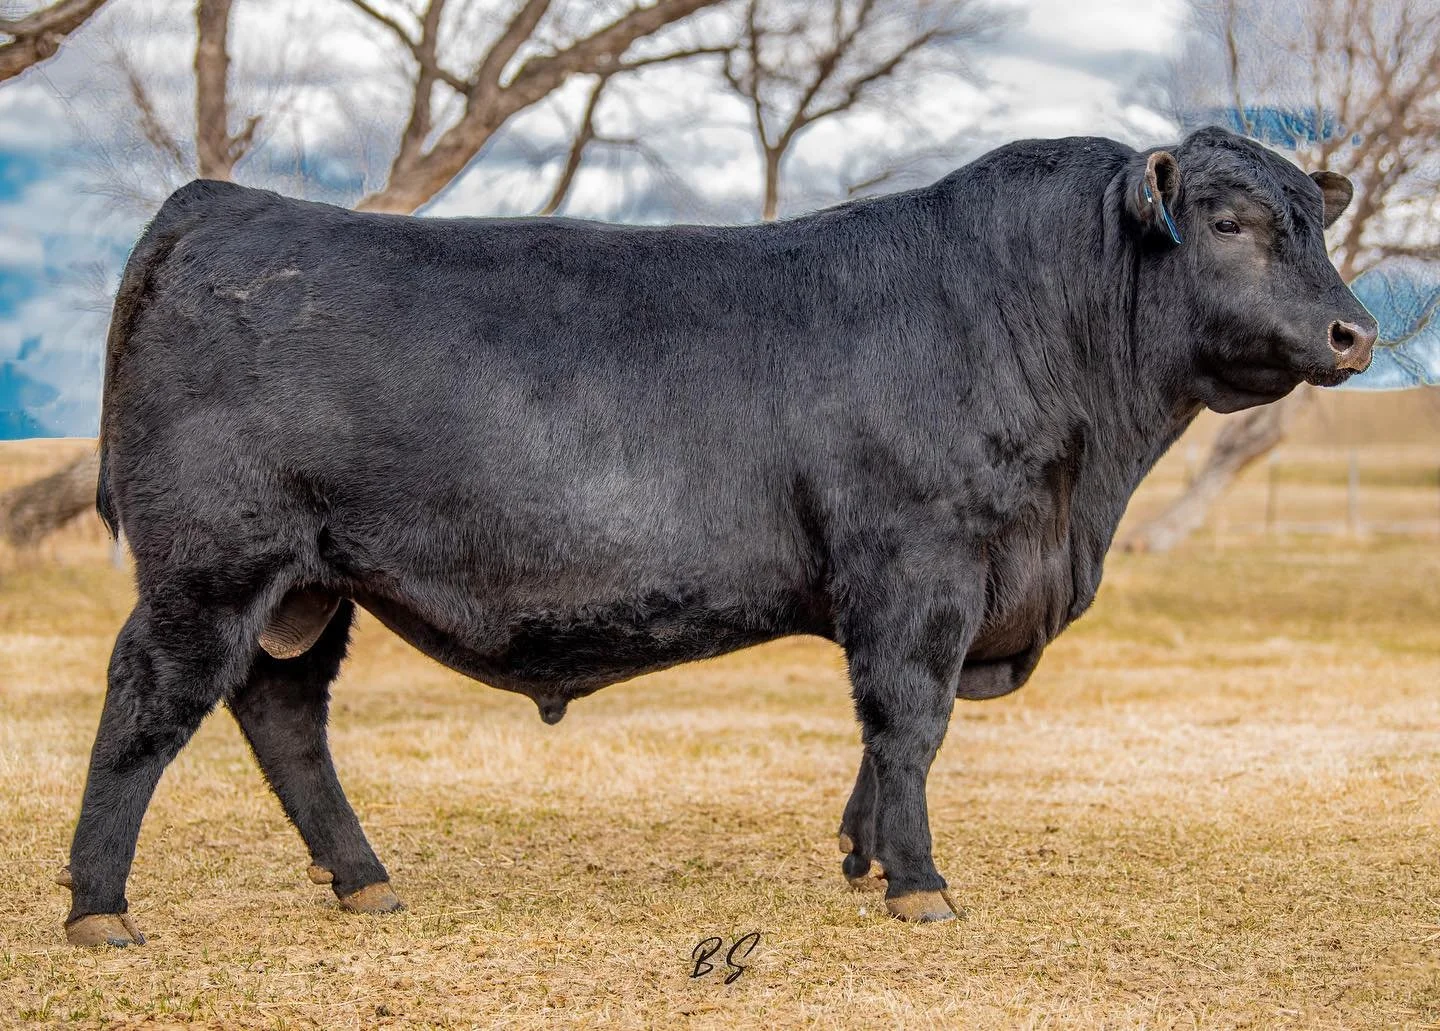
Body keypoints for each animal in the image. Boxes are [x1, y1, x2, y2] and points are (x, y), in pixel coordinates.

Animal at [58, 126, 1376, 947]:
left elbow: (884, 735)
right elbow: (911, 721)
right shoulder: (922, 566)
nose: (1354, 331)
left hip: (306, 586)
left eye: (1313, 221)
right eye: (1228, 221)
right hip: (212, 565)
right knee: (148, 700)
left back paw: (364, 881)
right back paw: (99, 905)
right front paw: (919, 883)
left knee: (284, 714)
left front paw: (859, 857)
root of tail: (221, 201)